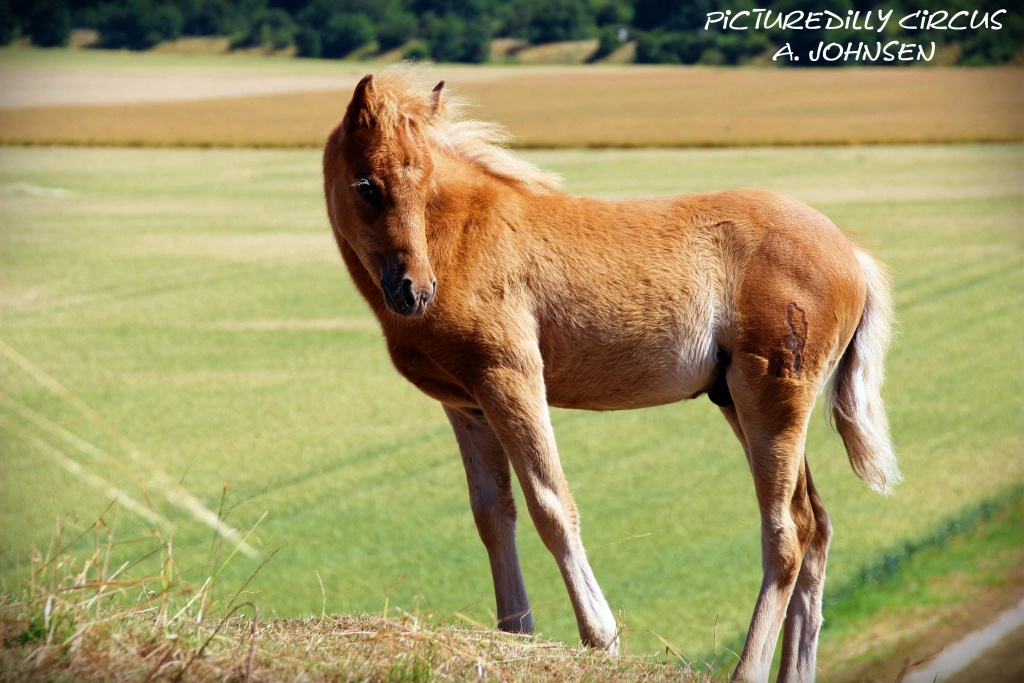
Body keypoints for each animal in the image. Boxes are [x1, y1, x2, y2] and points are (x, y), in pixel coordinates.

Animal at [322, 66, 899, 683]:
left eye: (426, 182)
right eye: (366, 185)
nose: (414, 290)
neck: (459, 238)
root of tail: (851, 253)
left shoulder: (510, 376)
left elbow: (551, 503)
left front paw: (600, 637)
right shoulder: (466, 405)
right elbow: (493, 514)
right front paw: (517, 635)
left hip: (771, 397)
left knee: (786, 533)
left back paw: (747, 668)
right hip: (738, 403)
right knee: (815, 526)